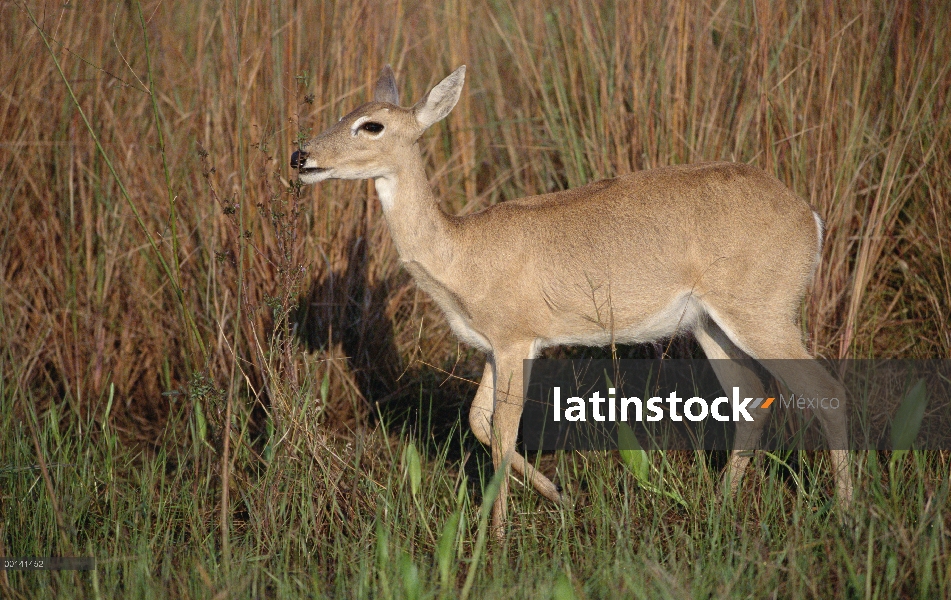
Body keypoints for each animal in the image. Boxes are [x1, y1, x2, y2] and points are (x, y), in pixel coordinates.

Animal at [292, 64, 856, 536]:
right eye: (344, 112)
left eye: (371, 125)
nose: (301, 155)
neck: (459, 256)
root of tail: (811, 217)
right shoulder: (493, 346)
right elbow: (478, 421)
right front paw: (559, 495)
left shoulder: (517, 338)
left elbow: (503, 429)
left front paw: (497, 535)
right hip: (710, 324)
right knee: (753, 398)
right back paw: (721, 507)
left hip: (763, 311)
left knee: (828, 390)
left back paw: (845, 515)